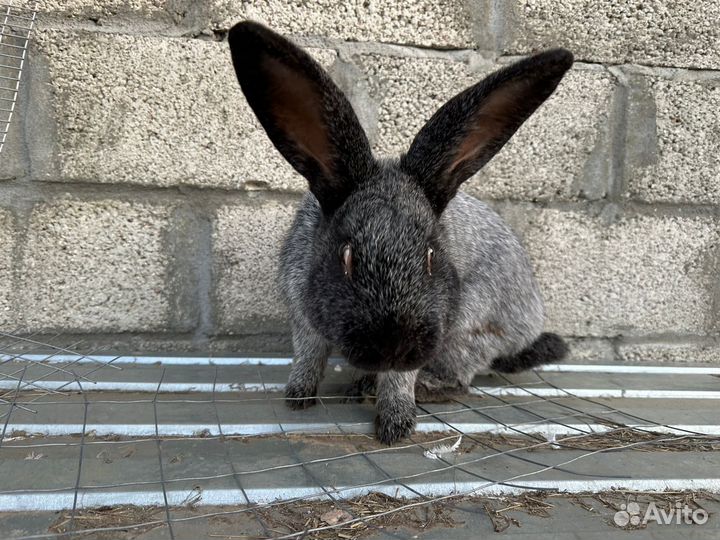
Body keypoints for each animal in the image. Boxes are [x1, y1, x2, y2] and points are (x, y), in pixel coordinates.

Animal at [228, 21, 571, 445]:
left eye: (430, 257)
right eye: (346, 257)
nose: (392, 347)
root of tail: (530, 326)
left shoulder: (434, 327)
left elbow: (398, 381)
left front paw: (395, 425)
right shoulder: (301, 310)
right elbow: (308, 355)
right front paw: (298, 396)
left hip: (470, 328)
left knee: (459, 380)